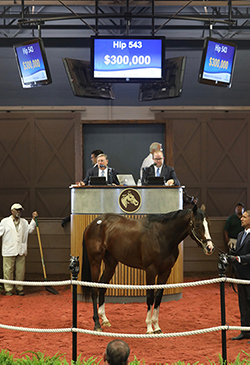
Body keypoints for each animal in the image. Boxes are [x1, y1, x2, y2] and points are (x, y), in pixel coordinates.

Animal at [81, 205, 214, 332]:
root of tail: (93, 224)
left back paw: (105, 319)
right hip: (95, 262)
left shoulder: (165, 272)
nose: (209, 247)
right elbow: (150, 297)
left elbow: (158, 297)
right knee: (94, 290)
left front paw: (157, 327)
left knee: (102, 286)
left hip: (111, 264)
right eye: (197, 224)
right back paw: (97, 324)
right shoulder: (151, 271)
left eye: (208, 224)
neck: (161, 236)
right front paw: (149, 328)